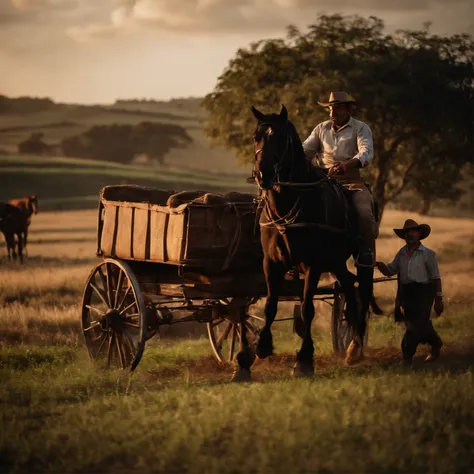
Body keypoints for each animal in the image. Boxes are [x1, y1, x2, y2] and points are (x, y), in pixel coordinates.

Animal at [231, 104, 376, 382]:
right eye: (256, 136)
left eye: (280, 138)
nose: (263, 175)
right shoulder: (271, 263)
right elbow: (271, 306)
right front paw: (262, 347)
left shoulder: (313, 265)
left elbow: (307, 309)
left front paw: (304, 360)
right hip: (335, 262)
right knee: (348, 288)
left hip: (359, 254)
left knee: (362, 289)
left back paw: (356, 347)